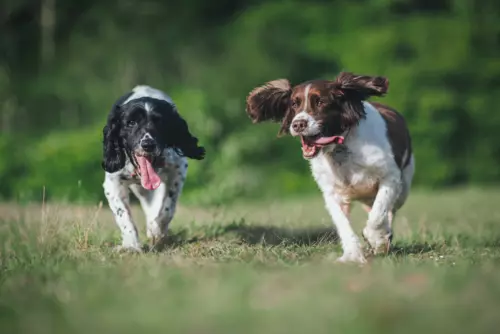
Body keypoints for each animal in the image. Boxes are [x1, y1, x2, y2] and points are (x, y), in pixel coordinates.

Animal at [101, 85, 205, 252]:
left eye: (160, 122)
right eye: (131, 123)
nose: (148, 144)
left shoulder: (178, 170)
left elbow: (168, 207)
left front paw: (157, 229)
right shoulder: (113, 183)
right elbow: (123, 215)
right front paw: (131, 245)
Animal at [246, 72, 414, 264]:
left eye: (320, 102)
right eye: (294, 104)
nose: (298, 124)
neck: (341, 147)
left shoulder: (390, 177)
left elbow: (379, 213)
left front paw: (377, 239)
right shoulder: (331, 192)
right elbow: (343, 224)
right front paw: (352, 255)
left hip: (403, 188)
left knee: (390, 210)